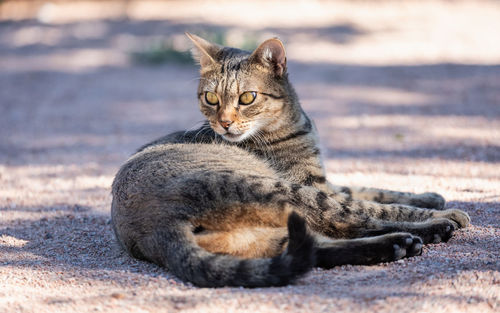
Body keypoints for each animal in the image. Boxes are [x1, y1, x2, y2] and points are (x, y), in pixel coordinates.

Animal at [111, 33, 470, 286]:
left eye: (247, 97)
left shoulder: (327, 181)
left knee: (315, 247)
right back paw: (433, 229)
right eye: (211, 98)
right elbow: (385, 204)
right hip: (282, 191)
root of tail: (158, 228)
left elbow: (377, 189)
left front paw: (430, 195)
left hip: (262, 233)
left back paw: (400, 245)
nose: (223, 123)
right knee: (353, 221)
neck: (295, 125)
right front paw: (443, 209)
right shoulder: (315, 185)